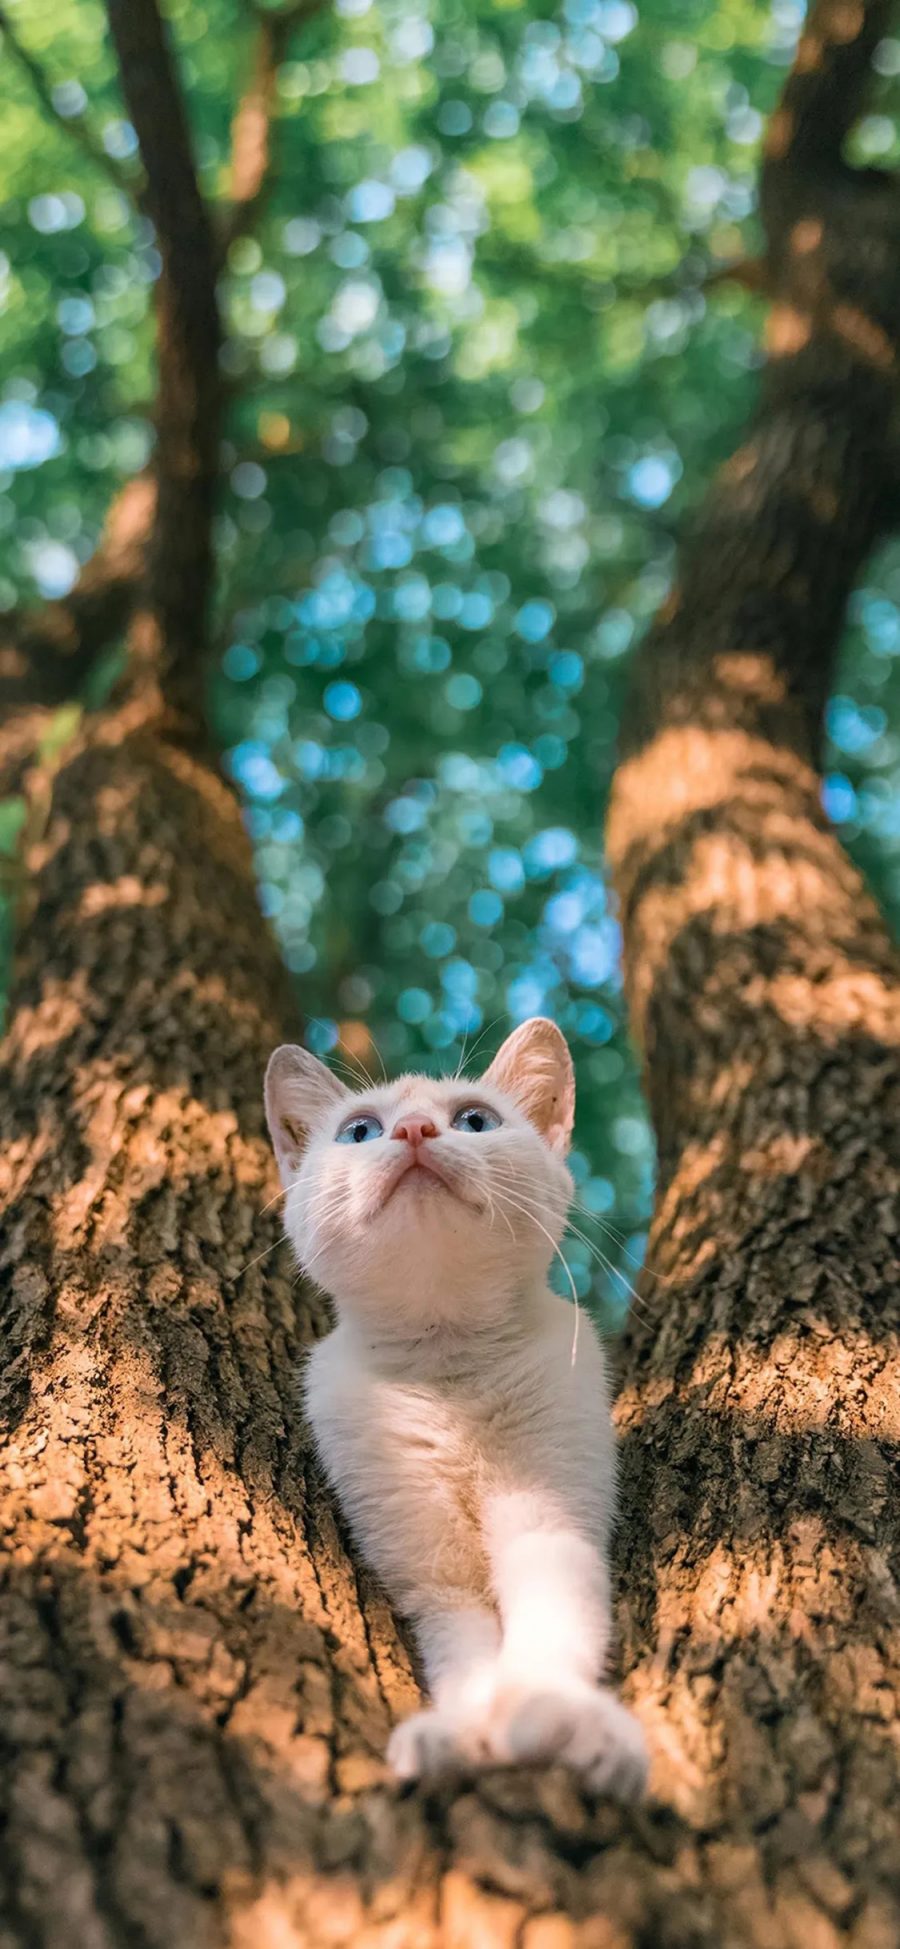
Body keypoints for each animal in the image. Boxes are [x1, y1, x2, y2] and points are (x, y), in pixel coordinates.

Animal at [264, 1021, 646, 1793]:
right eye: (359, 1131)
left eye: (475, 1121)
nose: (414, 1130)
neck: (449, 1369)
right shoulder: (429, 1572)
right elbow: (465, 1651)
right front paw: (460, 1733)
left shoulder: (552, 1523)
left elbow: (554, 1625)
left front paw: (557, 1717)